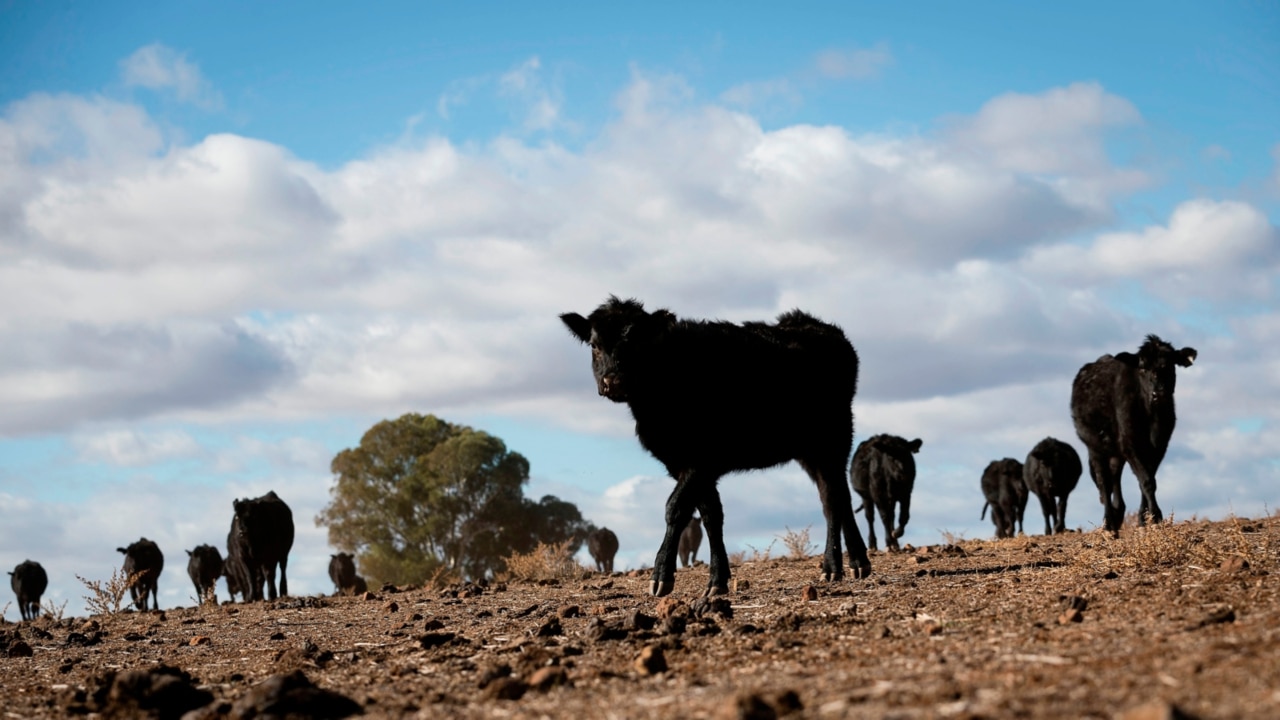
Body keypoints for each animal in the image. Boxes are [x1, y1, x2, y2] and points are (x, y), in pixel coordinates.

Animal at [560, 295, 870, 594]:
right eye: (595, 345)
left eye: (636, 343)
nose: (613, 382)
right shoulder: (684, 464)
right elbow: (711, 515)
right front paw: (718, 580)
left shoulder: (702, 460)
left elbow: (675, 509)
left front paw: (661, 576)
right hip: (810, 451)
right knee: (836, 496)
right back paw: (855, 562)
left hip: (834, 438)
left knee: (833, 498)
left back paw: (835, 566)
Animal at [1070, 333, 1198, 530]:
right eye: (1143, 368)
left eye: (1169, 365)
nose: (1159, 393)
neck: (1152, 416)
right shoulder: (1130, 443)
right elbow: (1146, 480)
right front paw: (1155, 516)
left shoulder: (1160, 445)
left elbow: (1147, 478)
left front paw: (1143, 519)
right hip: (1095, 447)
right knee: (1104, 482)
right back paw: (1109, 521)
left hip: (1116, 451)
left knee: (1114, 476)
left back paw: (1118, 513)